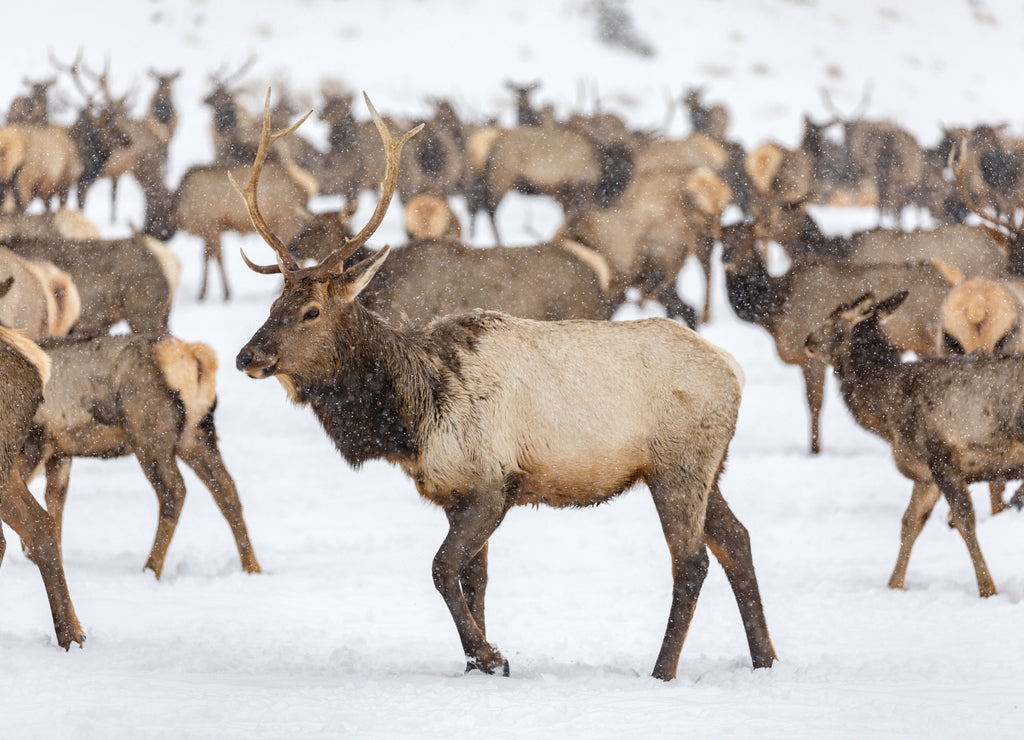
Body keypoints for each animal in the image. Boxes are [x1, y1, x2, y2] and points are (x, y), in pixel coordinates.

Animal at [18, 332, 261, 579]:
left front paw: (30, 552)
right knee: (225, 487)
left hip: (149, 432)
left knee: (174, 490)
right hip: (196, 435)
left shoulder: (34, 441)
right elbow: (54, 500)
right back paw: (252, 567)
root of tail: (196, 357)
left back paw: (151, 568)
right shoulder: (59, 451)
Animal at [232, 91, 776, 680]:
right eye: (274, 304)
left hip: (678, 464)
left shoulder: (495, 483)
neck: (411, 418)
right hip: (706, 468)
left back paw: (663, 670)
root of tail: (732, 369)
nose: (247, 356)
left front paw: (492, 656)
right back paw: (764, 658)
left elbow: (441, 569)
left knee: (692, 561)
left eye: (310, 310)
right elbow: (474, 579)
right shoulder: (453, 492)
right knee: (738, 540)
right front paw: (479, 664)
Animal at [805, 291, 1024, 597]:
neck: (886, 412)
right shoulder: (925, 473)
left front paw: (988, 590)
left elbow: (964, 519)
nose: (807, 342)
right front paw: (894, 585)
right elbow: (910, 523)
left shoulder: (940, 454)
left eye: (831, 319)